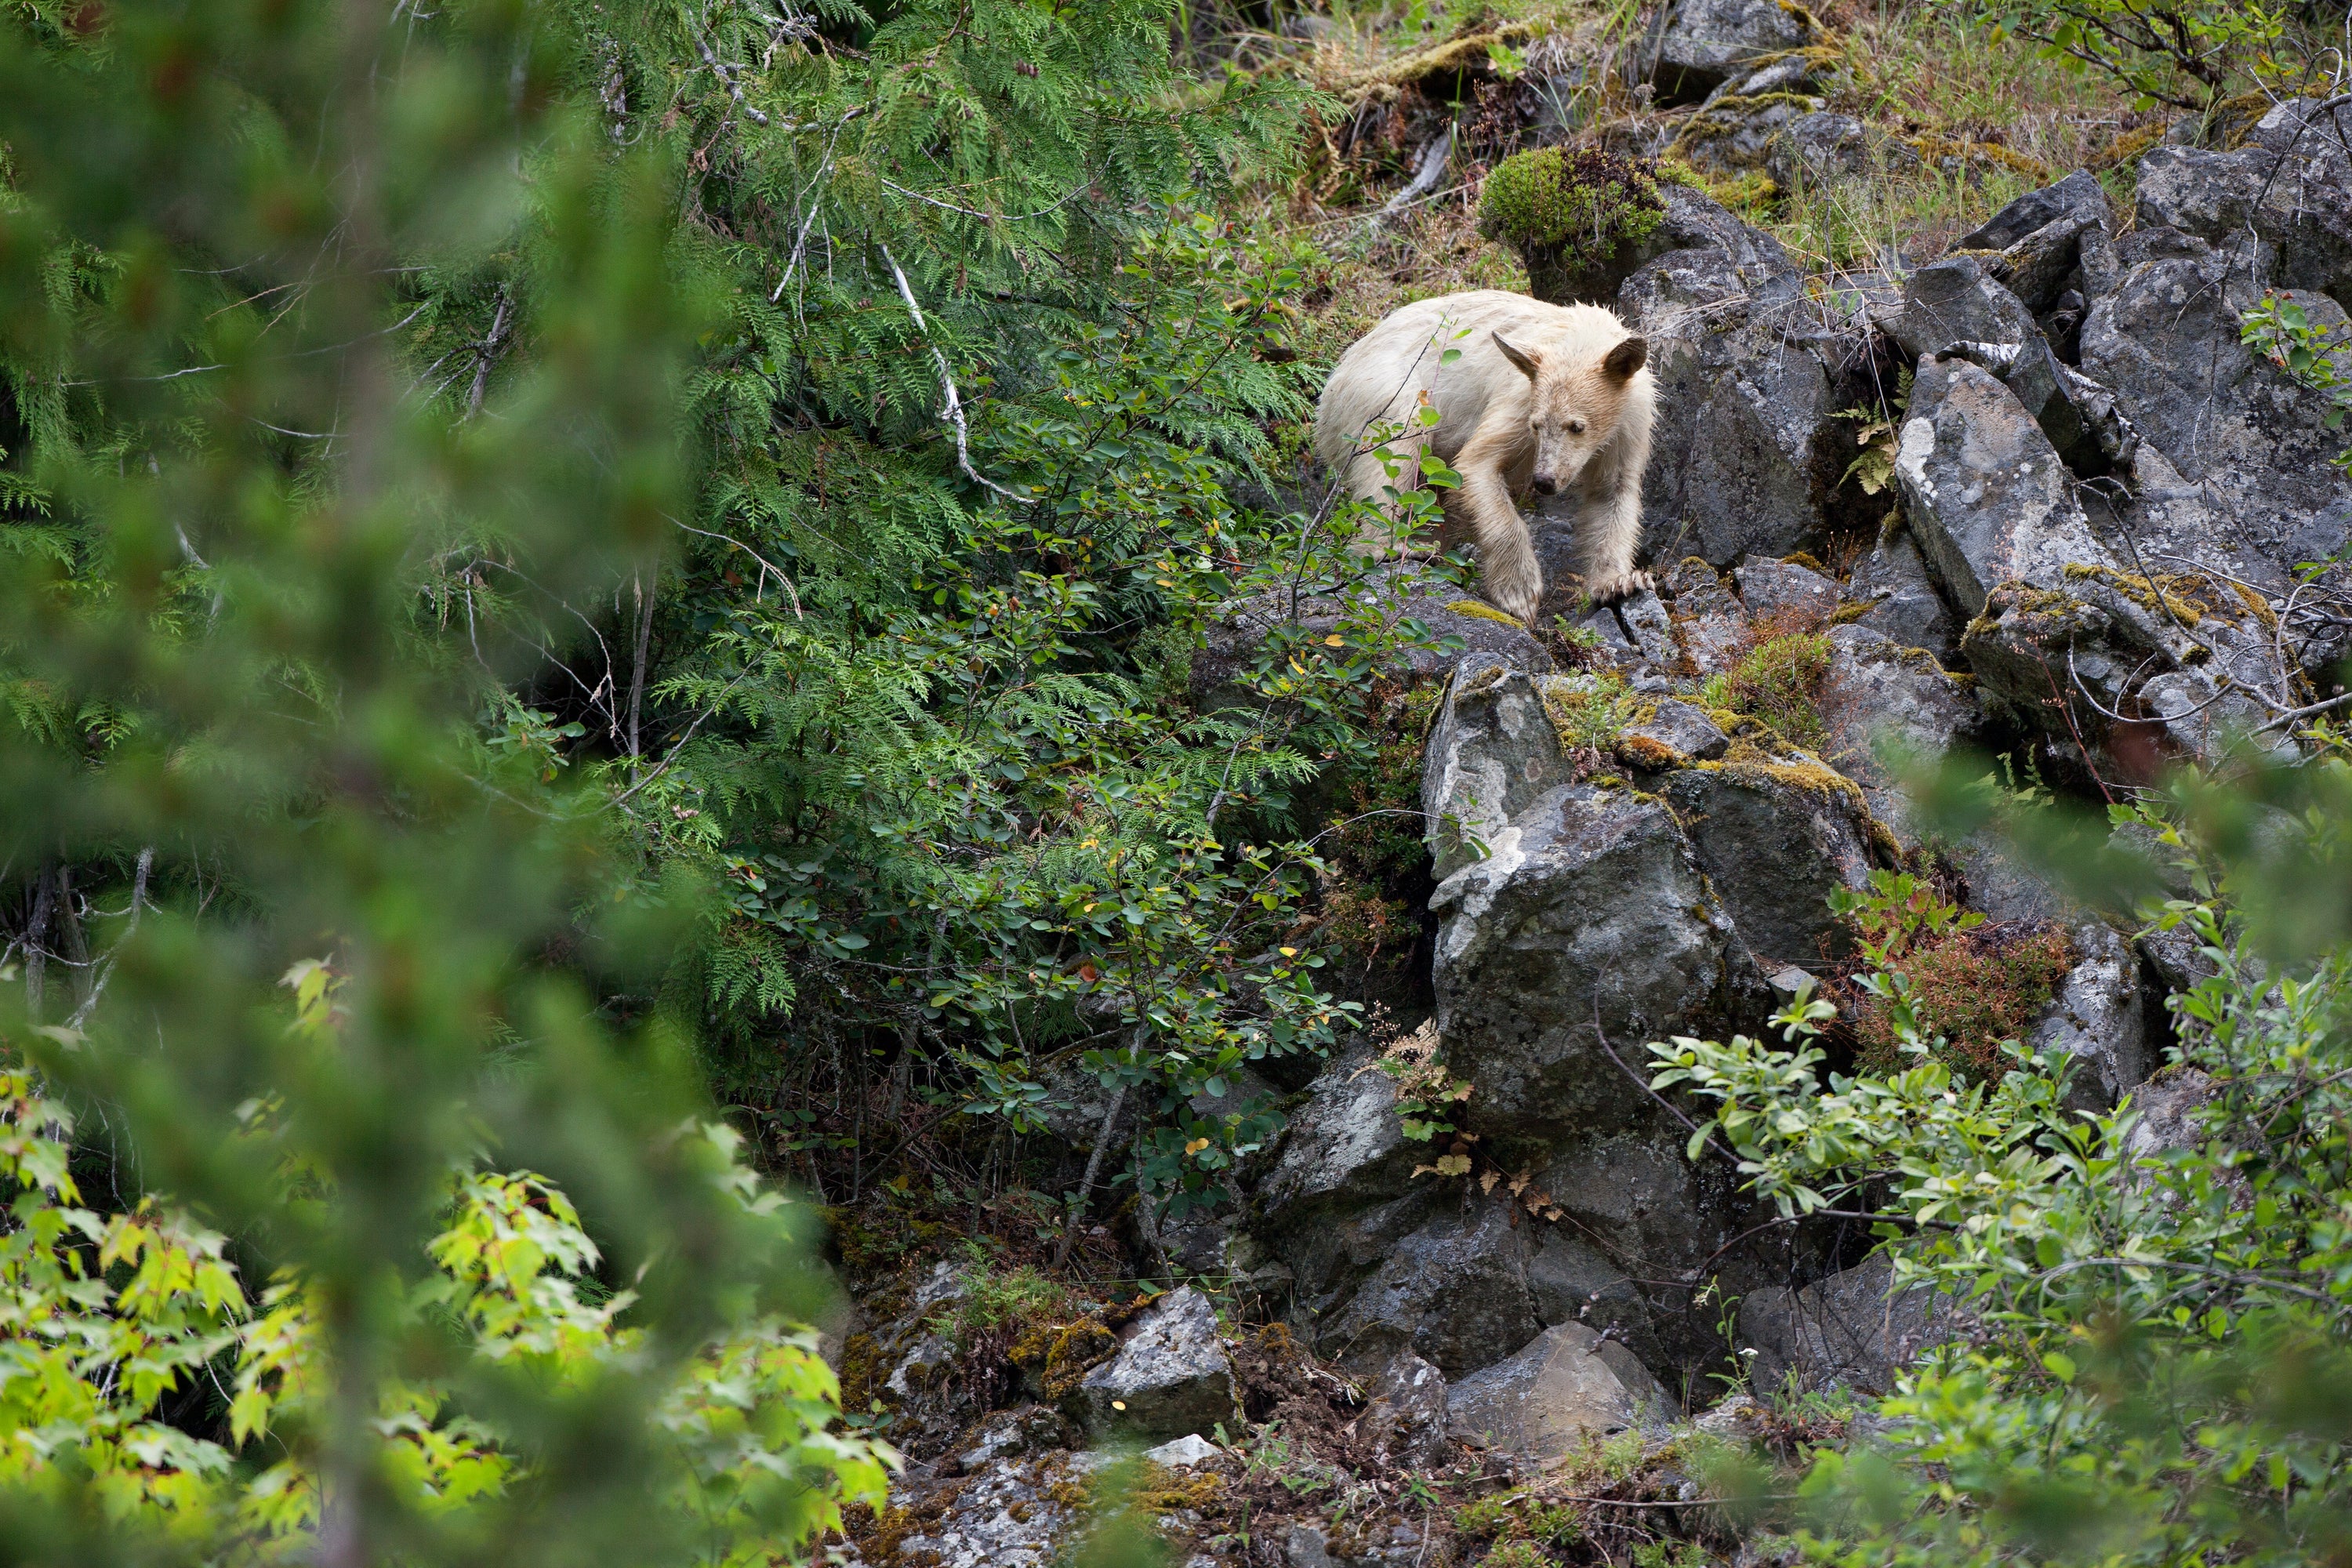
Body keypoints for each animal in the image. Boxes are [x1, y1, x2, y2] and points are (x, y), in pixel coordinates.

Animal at [1327, 291, 1656, 620]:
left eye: (1577, 426)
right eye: (1537, 425)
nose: (1544, 481)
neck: (1581, 335)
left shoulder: (1628, 424)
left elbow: (1612, 493)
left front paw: (1619, 583)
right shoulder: (1520, 399)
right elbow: (1477, 462)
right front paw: (1519, 592)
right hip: (1388, 392)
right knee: (1396, 456)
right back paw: (1392, 548)